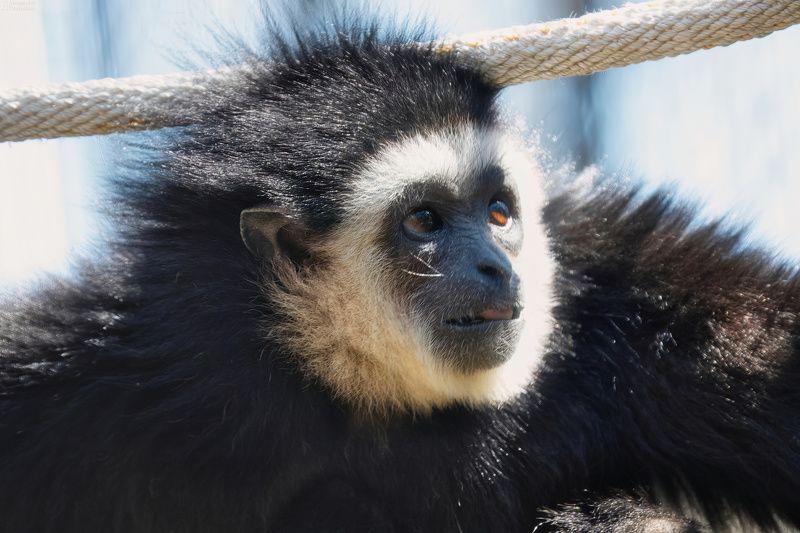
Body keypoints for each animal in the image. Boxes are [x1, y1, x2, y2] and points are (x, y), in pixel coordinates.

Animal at [1, 11, 799, 533]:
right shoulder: (141, 358)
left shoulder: (629, 297)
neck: (375, 399)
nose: (494, 263)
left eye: (499, 211)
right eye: (424, 221)